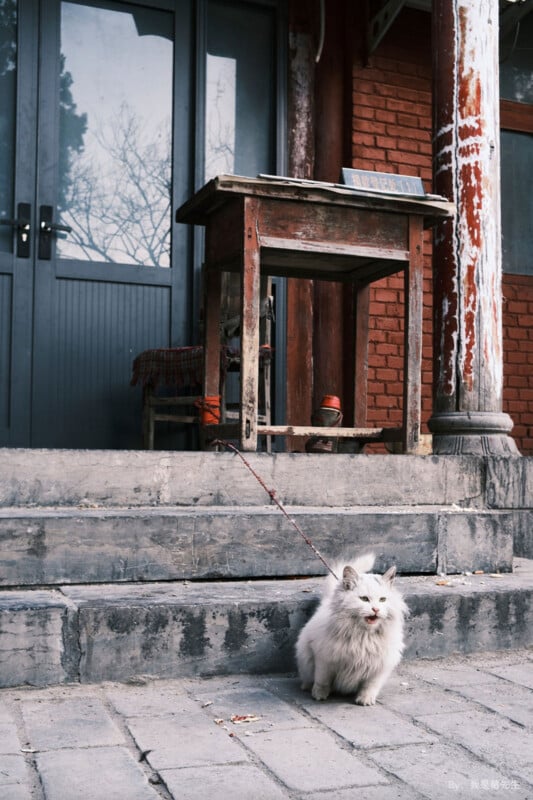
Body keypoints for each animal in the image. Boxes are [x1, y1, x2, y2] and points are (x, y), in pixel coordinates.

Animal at [296, 552, 408, 704]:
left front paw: (365, 700)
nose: (376, 609)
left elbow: (370, 686)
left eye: (382, 600)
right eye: (364, 599)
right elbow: (322, 681)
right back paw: (307, 687)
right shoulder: (324, 659)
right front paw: (319, 695)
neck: (364, 636)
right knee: (309, 679)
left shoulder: (379, 667)